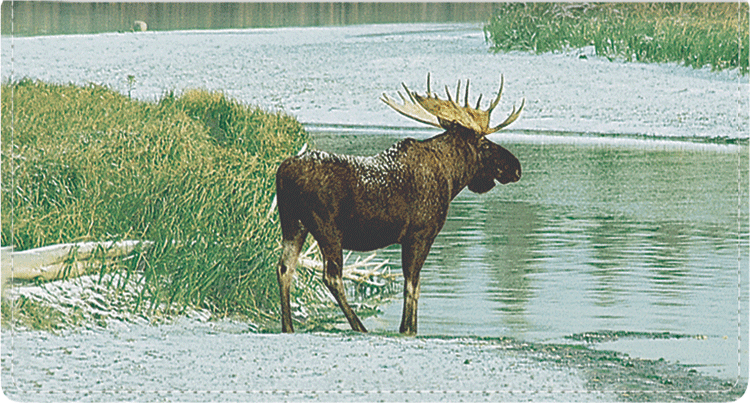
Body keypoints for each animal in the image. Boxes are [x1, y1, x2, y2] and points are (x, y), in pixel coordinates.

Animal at [274, 73, 524, 334]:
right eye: (484, 143)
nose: (516, 167)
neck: (451, 178)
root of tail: (283, 172)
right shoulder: (420, 234)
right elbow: (412, 286)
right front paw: (408, 328)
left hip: (293, 222)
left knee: (284, 268)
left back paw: (288, 326)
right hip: (326, 227)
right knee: (331, 276)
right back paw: (359, 326)